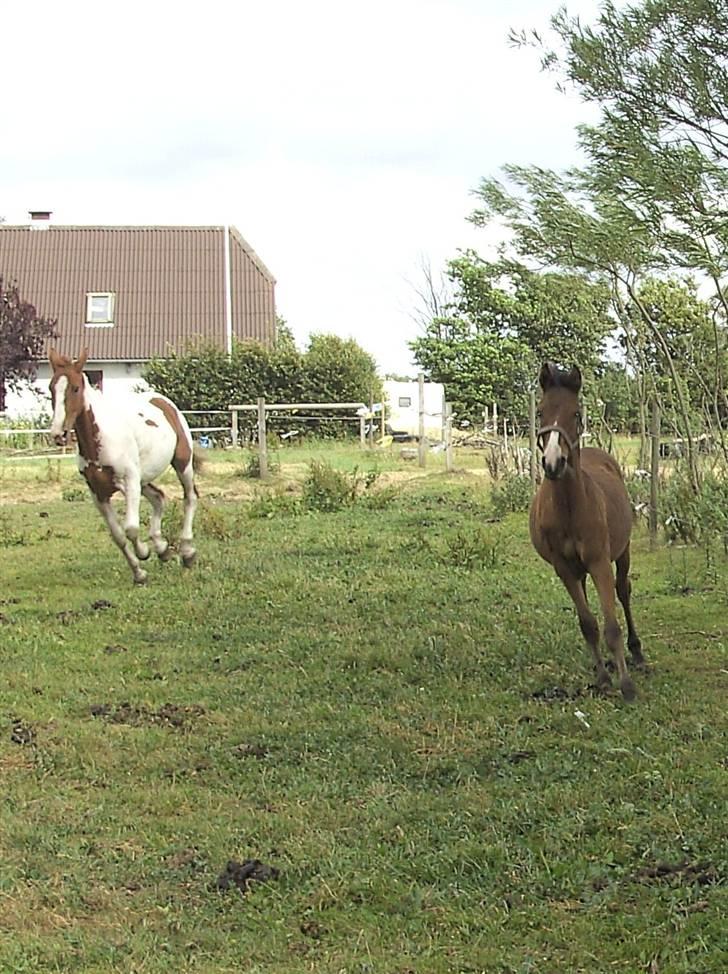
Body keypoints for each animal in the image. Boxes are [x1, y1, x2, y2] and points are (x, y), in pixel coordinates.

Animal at [49, 348, 198, 584]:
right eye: (51, 388)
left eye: (75, 388)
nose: (58, 434)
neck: (98, 441)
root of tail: (163, 402)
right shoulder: (99, 493)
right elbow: (118, 536)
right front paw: (140, 573)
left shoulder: (129, 480)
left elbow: (131, 529)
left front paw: (144, 552)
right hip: (143, 479)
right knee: (159, 498)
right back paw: (163, 549)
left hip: (182, 464)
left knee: (190, 498)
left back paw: (187, 552)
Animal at [528, 362, 644, 696]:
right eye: (541, 411)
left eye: (576, 413)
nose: (554, 462)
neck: (569, 509)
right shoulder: (564, 568)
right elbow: (588, 624)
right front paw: (604, 680)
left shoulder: (599, 561)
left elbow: (612, 626)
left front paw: (627, 686)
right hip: (578, 571)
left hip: (622, 551)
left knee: (623, 591)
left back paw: (637, 652)